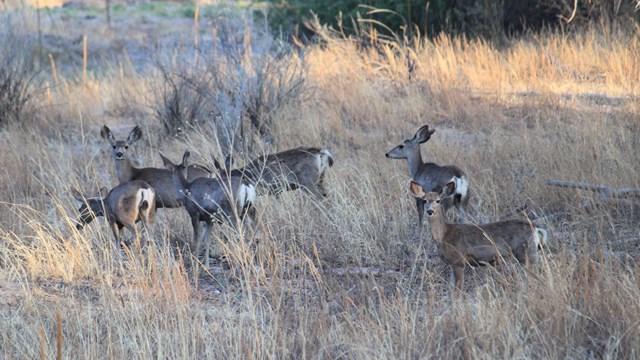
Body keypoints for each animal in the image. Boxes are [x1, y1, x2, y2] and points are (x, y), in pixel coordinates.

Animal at [410, 179, 544, 292]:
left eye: (438, 201)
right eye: (425, 200)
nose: (430, 211)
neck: (443, 236)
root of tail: (535, 229)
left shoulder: (458, 261)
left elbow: (458, 291)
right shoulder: (452, 263)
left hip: (527, 254)